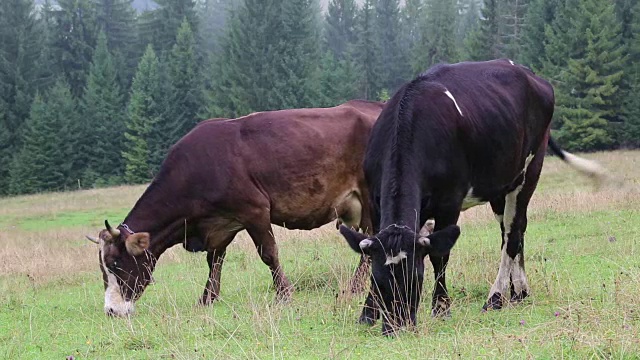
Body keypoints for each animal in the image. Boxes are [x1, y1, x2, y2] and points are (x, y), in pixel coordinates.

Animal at [85, 100, 384, 316]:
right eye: (102, 268)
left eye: (116, 264)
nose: (111, 310)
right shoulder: (219, 224)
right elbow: (214, 261)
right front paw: (207, 298)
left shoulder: (255, 210)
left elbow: (268, 254)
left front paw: (283, 294)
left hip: (371, 196)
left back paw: (354, 287)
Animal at [338, 57, 608, 336]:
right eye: (379, 281)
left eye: (417, 278)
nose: (396, 327)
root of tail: (526, 72)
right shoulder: (375, 202)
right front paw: (367, 313)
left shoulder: (449, 202)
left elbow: (439, 255)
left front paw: (441, 308)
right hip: (499, 185)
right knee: (511, 232)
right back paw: (518, 292)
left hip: (530, 170)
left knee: (514, 233)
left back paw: (496, 297)